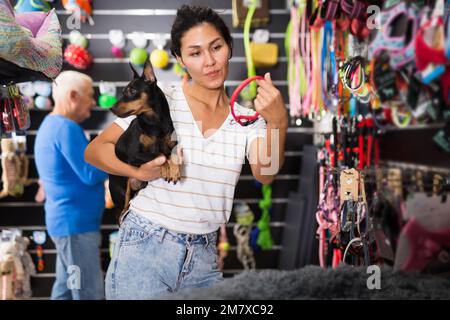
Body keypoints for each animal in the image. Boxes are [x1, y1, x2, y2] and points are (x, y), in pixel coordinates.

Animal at [108, 59, 180, 218]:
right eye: (123, 91)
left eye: (132, 91)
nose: (111, 109)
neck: (154, 122)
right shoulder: (134, 155)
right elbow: (160, 154)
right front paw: (166, 169)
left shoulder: (173, 144)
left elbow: (172, 155)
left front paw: (175, 170)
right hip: (122, 193)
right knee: (123, 210)